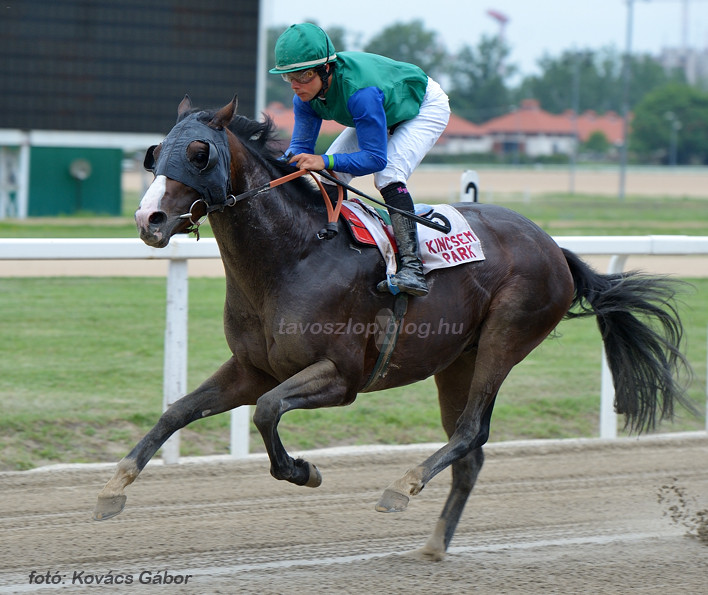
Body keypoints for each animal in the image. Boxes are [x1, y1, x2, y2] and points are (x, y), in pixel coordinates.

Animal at [94, 95, 692, 560]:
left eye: (199, 153)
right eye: (154, 154)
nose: (149, 220)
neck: (293, 256)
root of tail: (555, 248)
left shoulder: (340, 377)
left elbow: (266, 412)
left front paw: (305, 471)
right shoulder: (252, 368)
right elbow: (177, 410)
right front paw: (112, 487)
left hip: (505, 337)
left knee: (472, 432)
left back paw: (402, 486)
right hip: (458, 362)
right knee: (469, 452)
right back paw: (433, 545)